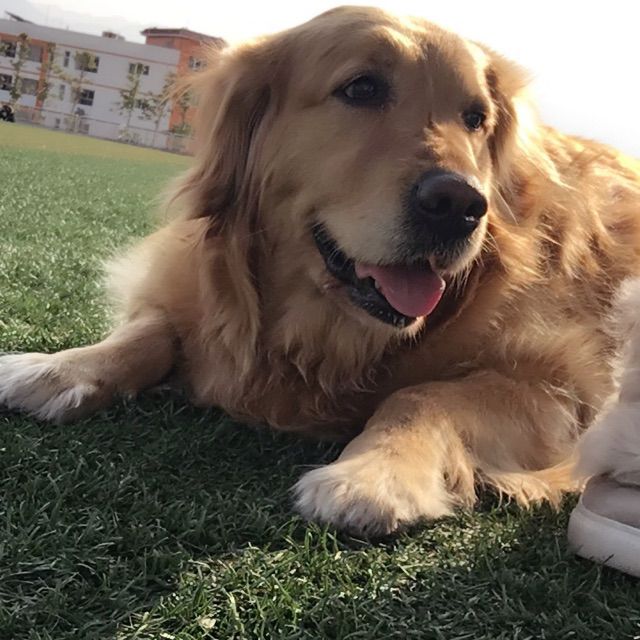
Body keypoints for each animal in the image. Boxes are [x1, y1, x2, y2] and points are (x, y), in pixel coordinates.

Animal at [2, 6, 640, 535]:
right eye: (362, 88)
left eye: (476, 118)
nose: (462, 205)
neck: (326, 337)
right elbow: (154, 329)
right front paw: (56, 368)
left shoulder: (561, 385)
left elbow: (421, 394)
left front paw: (375, 476)